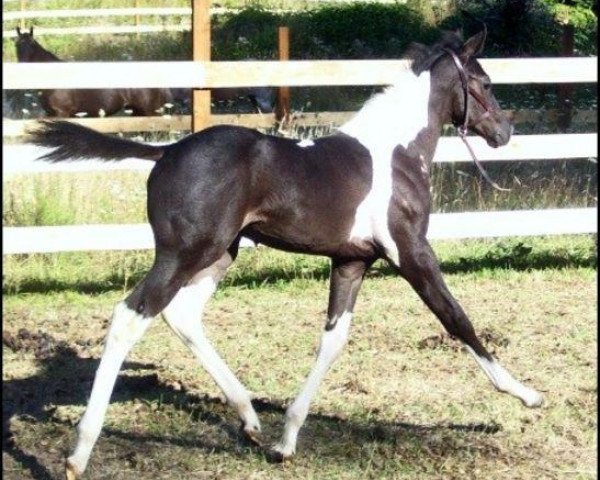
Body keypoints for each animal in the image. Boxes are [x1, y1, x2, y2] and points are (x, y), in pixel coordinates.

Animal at [29, 31, 544, 480]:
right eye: (484, 82)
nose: (504, 132)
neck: (395, 153)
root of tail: (165, 152)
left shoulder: (353, 261)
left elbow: (333, 340)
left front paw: (286, 441)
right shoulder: (411, 252)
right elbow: (456, 319)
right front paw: (525, 393)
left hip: (219, 255)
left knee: (182, 315)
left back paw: (250, 421)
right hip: (185, 254)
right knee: (129, 316)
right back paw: (79, 452)